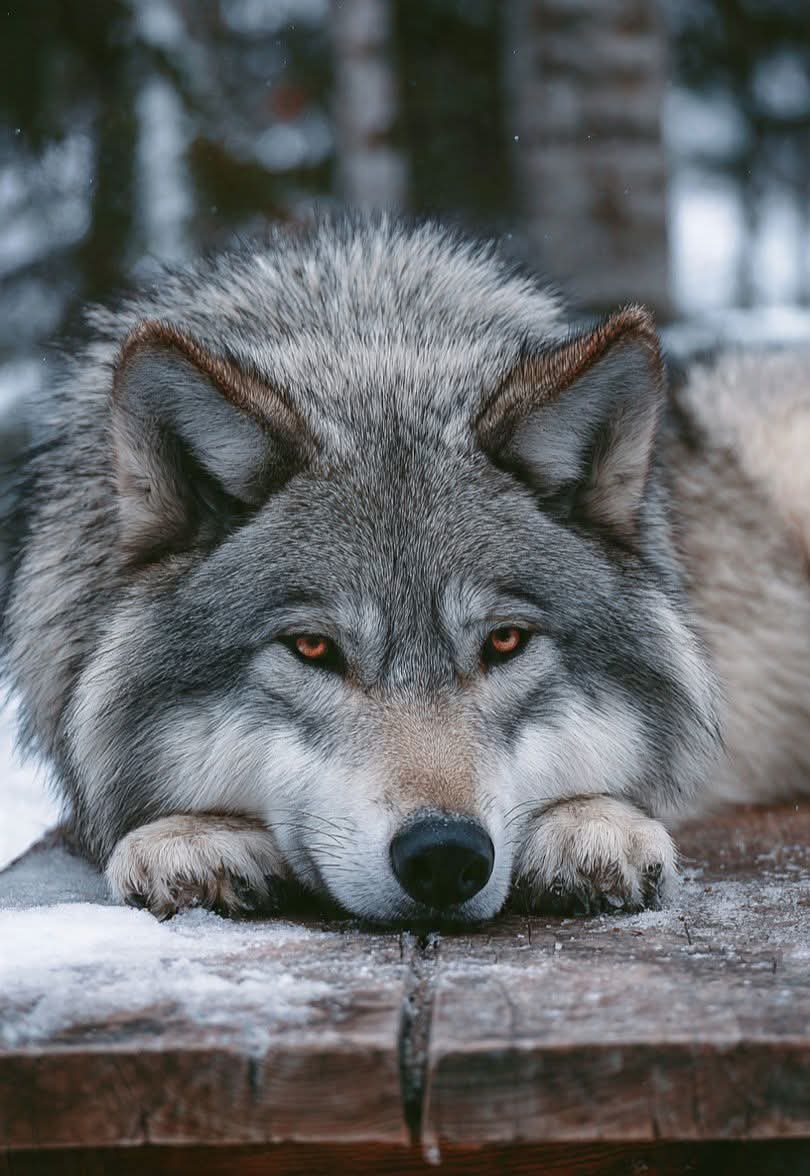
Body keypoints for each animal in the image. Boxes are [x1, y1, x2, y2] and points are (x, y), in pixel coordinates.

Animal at [2, 216, 808, 923]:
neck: (369, 333)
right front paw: (191, 840)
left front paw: (592, 824)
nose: (445, 854)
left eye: (506, 642)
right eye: (313, 648)